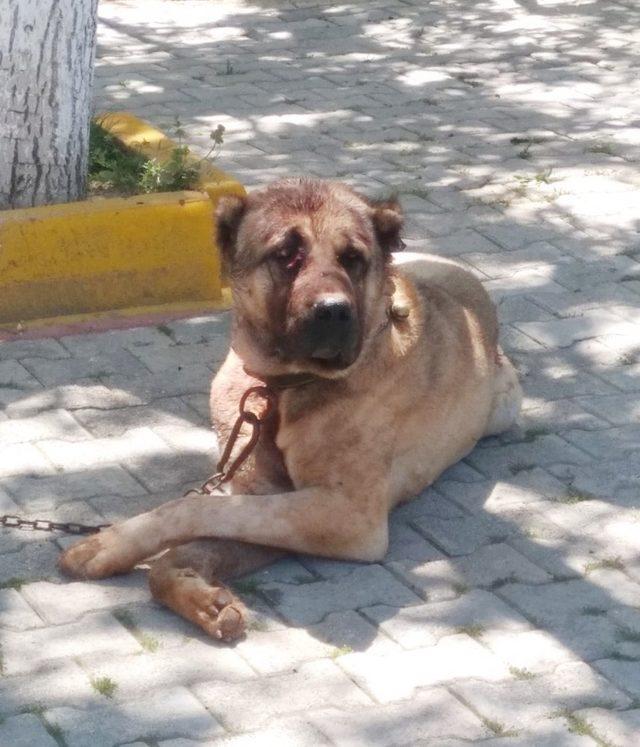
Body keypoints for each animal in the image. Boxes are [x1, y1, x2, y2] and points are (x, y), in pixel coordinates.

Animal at [58, 180, 520, 644]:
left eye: (353, 258)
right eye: (286, 254)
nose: (333, 311)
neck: (281, 388)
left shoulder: (344, 514)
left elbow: (192, 509)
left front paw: (109, 544)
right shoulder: (268, 497)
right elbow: (201, 531)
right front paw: (200, 595)